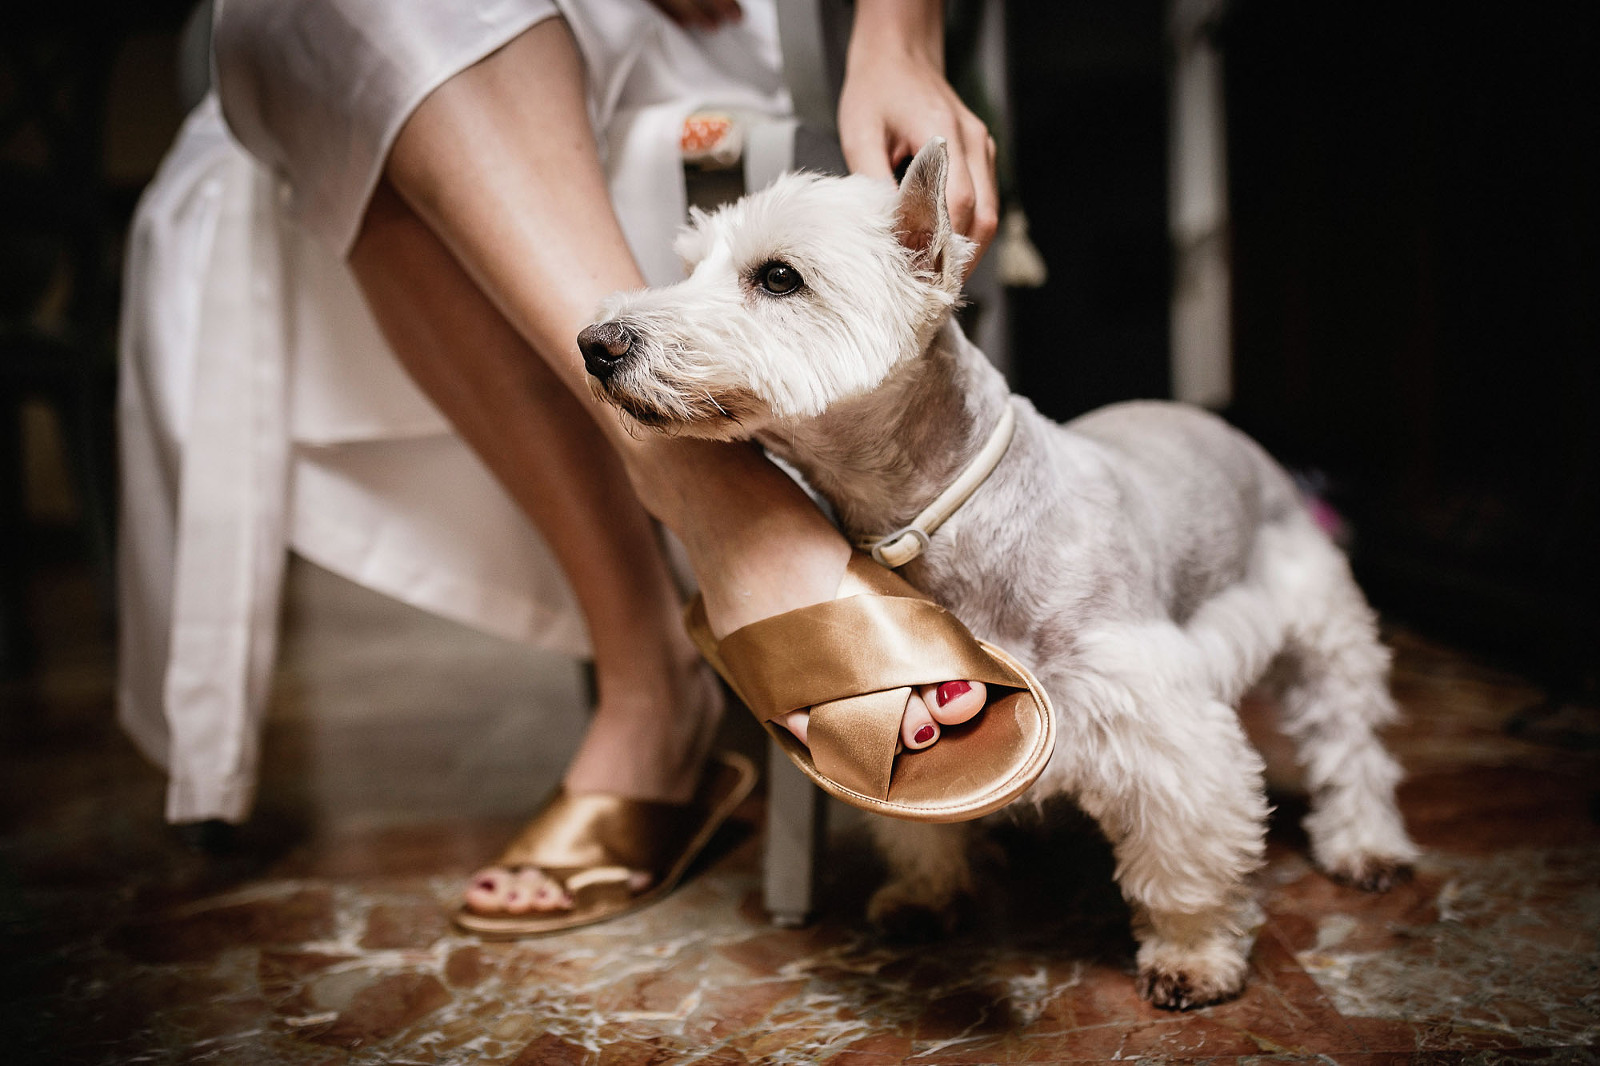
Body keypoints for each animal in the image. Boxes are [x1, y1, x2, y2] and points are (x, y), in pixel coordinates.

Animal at [582, 135, 1420, 1005]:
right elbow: (914, 818)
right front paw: (927, 893)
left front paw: (1193, 956)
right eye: (688, 267)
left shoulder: (1160, 724)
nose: (595, 344)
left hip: (1322, 633)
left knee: (1351, 746)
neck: (939, 524)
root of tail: (1224, 426)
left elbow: (1184, 861)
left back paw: (1365, 846)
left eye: (779, 276)